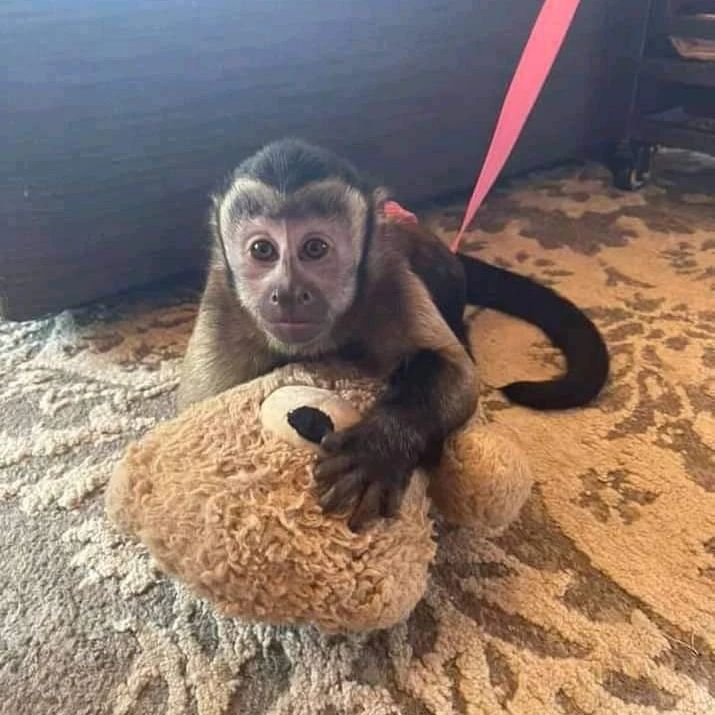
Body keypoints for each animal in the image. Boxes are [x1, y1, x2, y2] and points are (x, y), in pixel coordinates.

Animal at [178, 139, 609, 531]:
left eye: (315, 248)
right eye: (262, 250)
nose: (286, 292)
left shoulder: (389, 279)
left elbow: (458, 372)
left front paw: (379, 448)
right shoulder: (223, 312)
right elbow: (197, 409)